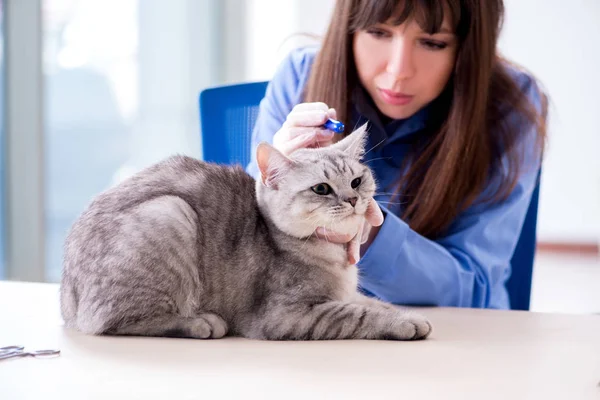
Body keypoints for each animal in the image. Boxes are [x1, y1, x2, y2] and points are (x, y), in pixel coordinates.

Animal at [61, 125, 432, 340]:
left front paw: (401, 312)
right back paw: (200, 323)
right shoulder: (287, 315)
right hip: (170, 213)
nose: (354, 199)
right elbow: (358, 314)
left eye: (356, 181)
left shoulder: (348, 293)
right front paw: (406, 323)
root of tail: (68, 302)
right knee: (113, 322)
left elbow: (372, 302)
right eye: (322, 189)